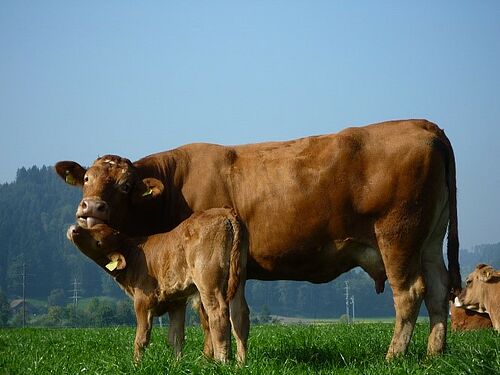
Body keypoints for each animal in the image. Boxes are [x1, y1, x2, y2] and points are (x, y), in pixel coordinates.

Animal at [65, 207, 249, 362]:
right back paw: (240, 363)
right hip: (238, 278)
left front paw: (137, 364)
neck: (134, 255)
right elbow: (176, 337)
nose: (74, 229)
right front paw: (177, 365)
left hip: (208, 281)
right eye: (95, 228)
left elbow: (141, 338)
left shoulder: (142, 301)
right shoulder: (176, 301)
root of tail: (224, 211)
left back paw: (220, 362)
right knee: (239, 315)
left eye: (99, 243)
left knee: (218, 313)